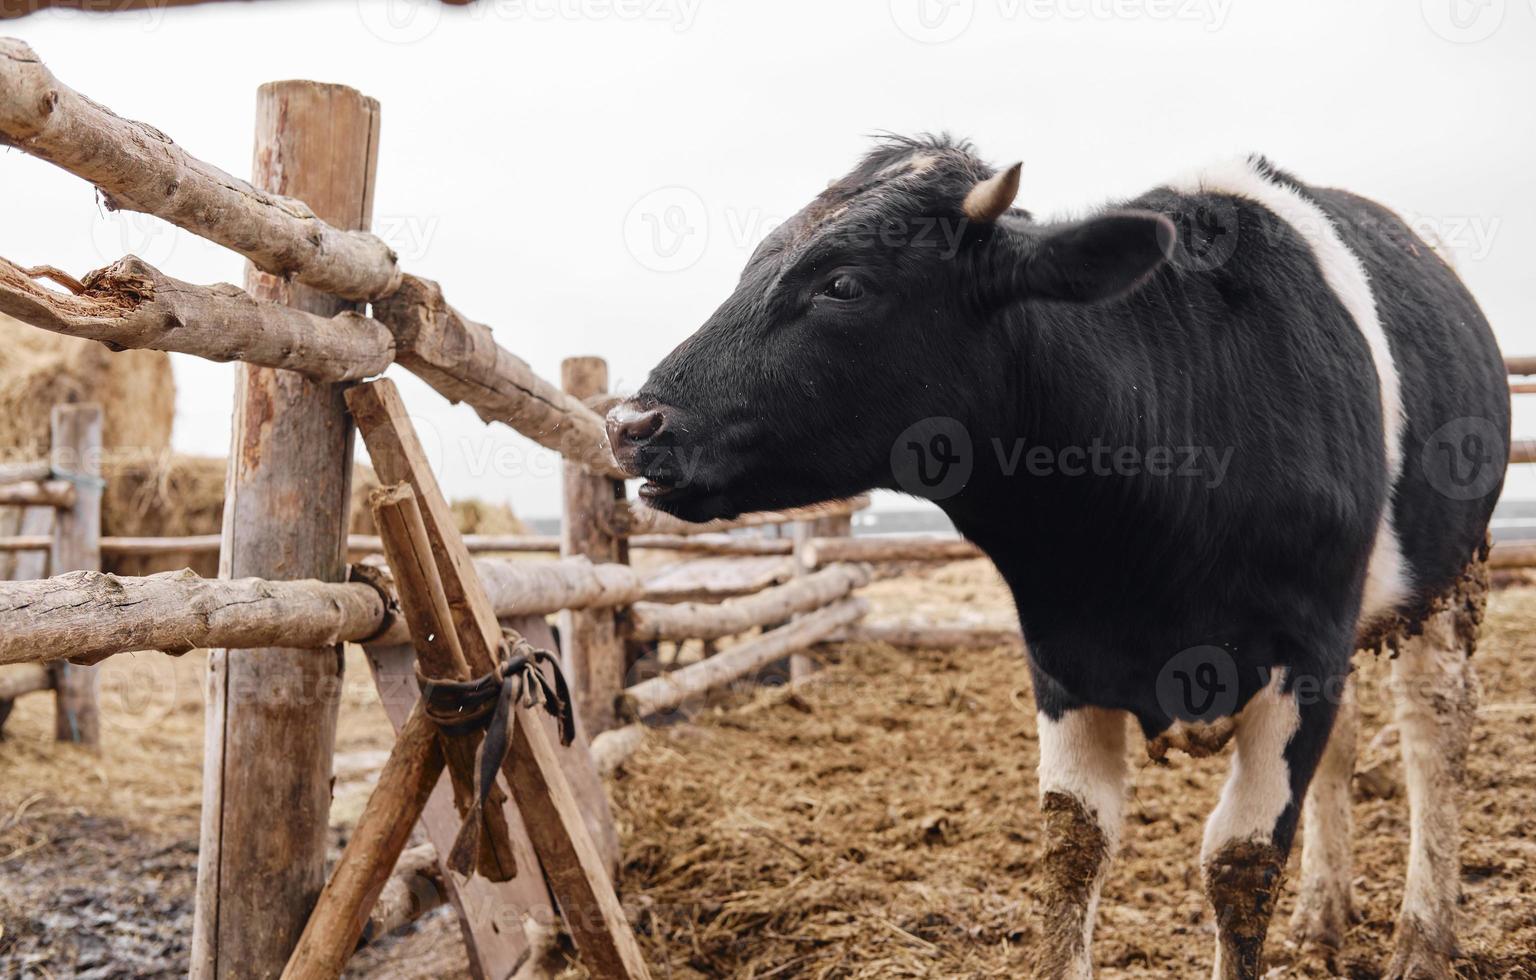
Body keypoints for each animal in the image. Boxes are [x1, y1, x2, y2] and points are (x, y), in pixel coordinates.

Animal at [605, 139, 1505, 980]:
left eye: (844, 285)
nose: (630, 423)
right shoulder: (1064, 656)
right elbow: (1075, 842)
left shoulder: (1304, 655)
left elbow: (1240, 861)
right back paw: (1321, 915)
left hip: (1451, 575)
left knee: (1435, 730)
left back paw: (1423, 937)